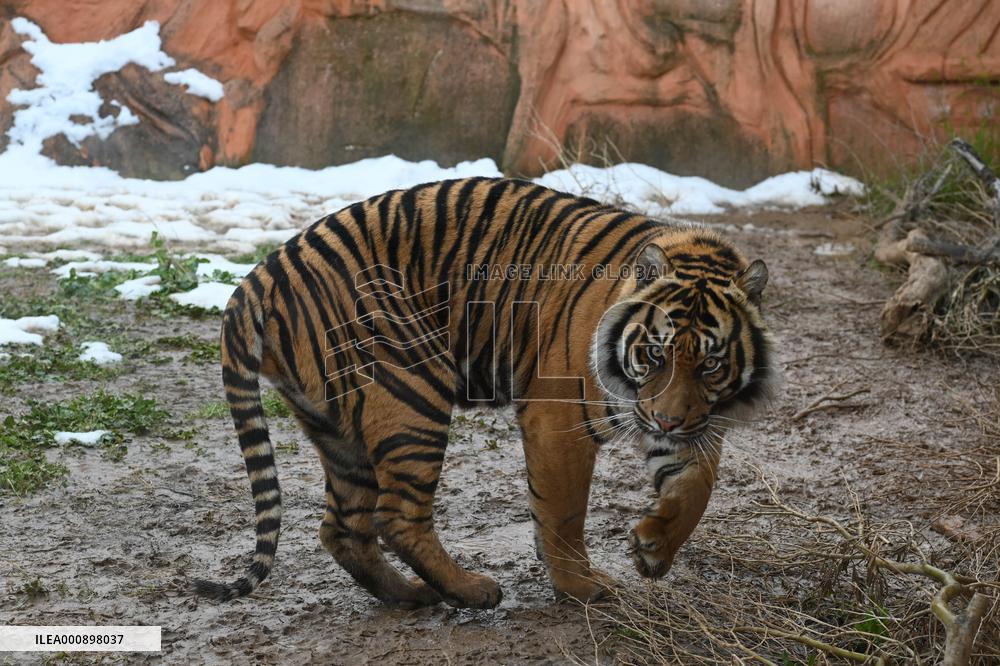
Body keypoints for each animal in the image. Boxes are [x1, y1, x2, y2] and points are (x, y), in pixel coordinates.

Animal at [193, 177, 777, 609]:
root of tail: (260, 275)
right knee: (396, 516)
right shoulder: (559, 417)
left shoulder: (693, 419)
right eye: (655, 355)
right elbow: (564, 512)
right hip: (411, 392)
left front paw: (653, 548)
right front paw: (582, 587)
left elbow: (696, 488)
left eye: (711, 364)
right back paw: (472, 591)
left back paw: (410, 595)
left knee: (343, 527)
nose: (669, 423)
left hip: (337, 427)